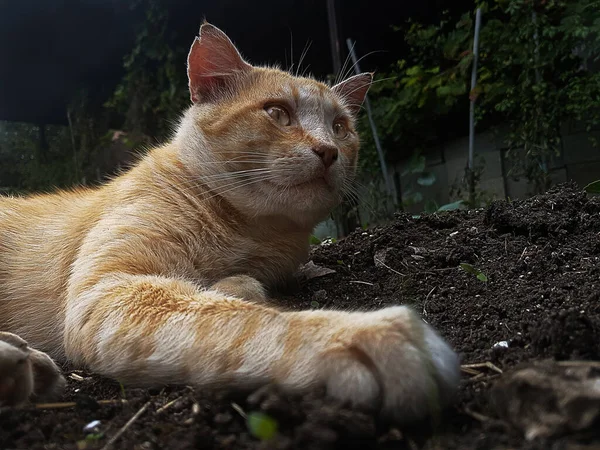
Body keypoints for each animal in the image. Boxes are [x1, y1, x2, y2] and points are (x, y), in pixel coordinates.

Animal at [0, 22, 460, 422]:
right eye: (278, 113)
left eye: (340, 127)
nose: (328, 150)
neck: (247, 229)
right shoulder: (108, 289)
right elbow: (240, 320)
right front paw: (358, 336)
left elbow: (235, 291)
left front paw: (235, 284)